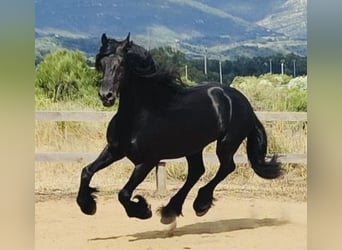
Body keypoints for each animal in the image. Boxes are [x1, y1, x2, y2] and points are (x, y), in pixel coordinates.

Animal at [77, 33, 284, 225]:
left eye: (122, 64)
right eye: (101, 63)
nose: (106, 96)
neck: (139, 116)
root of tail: (243, 102)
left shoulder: (148, 161)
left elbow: (124, 194)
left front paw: (143, 210)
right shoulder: (114, 150)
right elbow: (87, 171)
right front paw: (87, 206)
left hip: (226, 143)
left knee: (226, 167)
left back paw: (199, 204)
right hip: (194, 147)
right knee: (197, 171)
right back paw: (171, 210)